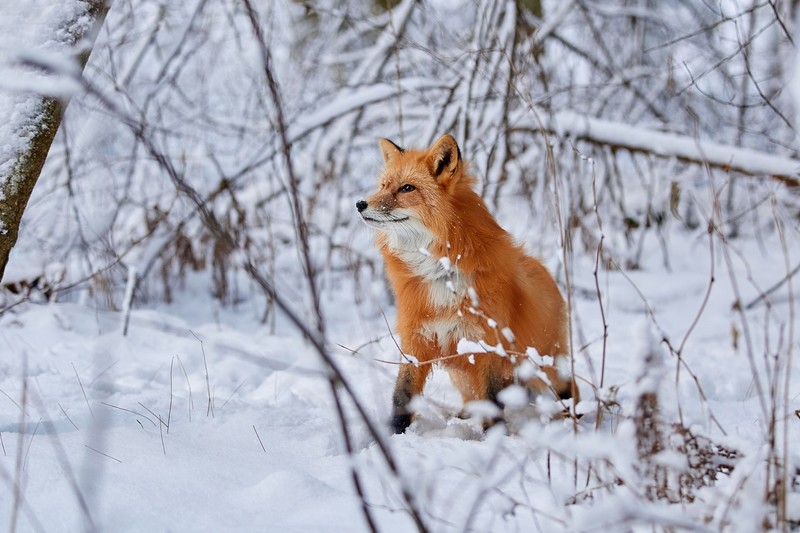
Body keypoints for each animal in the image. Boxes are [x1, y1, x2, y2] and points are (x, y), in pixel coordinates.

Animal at [357, 134, 578, 434]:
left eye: (407, 188)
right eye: (383, 186)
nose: (360, 204)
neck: (440, 274)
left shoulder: (488, 344)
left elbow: (494, 401)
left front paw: (496, 437)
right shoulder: (416, 338)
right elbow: (403, 394)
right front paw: (394, 435)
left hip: (543, 365)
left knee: (568, 387)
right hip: (463, 372)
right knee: (473, 397)